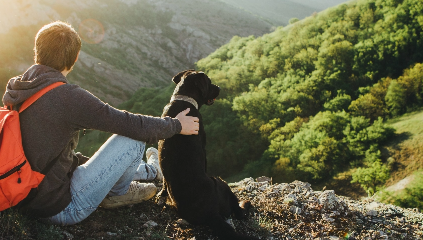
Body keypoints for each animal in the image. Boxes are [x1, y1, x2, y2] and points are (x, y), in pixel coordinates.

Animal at [158, 69, 256, 240]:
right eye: (209, 82)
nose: (220, 87)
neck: (184, 100)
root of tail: (211, 215)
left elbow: (164, 181)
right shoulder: (203, 148)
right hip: (221, 183)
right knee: (238, 212)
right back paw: (245, 204)